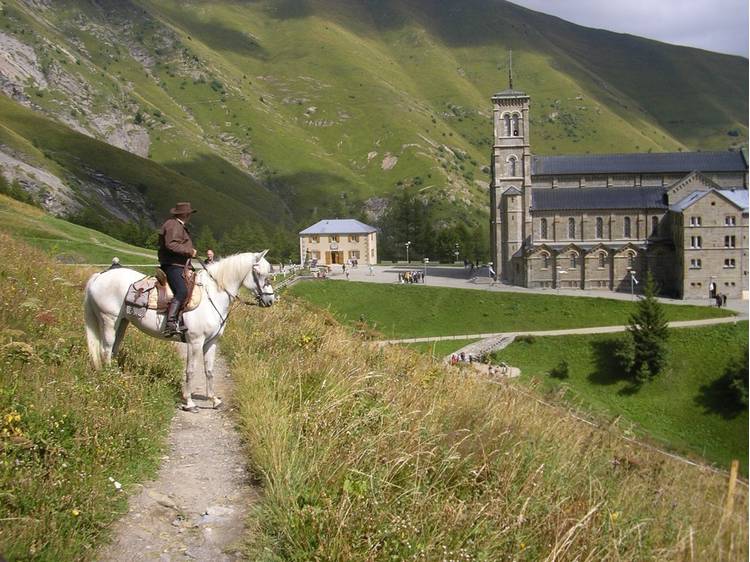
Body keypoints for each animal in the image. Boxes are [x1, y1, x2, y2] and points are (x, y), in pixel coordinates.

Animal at [83, 252, 276, 410]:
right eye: (259, 274)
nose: (270, 301)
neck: (212, 296)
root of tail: (99, 277)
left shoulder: (211, 342)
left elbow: (209, 370)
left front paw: (214, 400)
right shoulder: (195, 341)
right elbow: (190, 370)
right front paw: (189, 402)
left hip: (122, 322)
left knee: (113, 349)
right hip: (109, 320)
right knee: (105, 350)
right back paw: (111, 379)